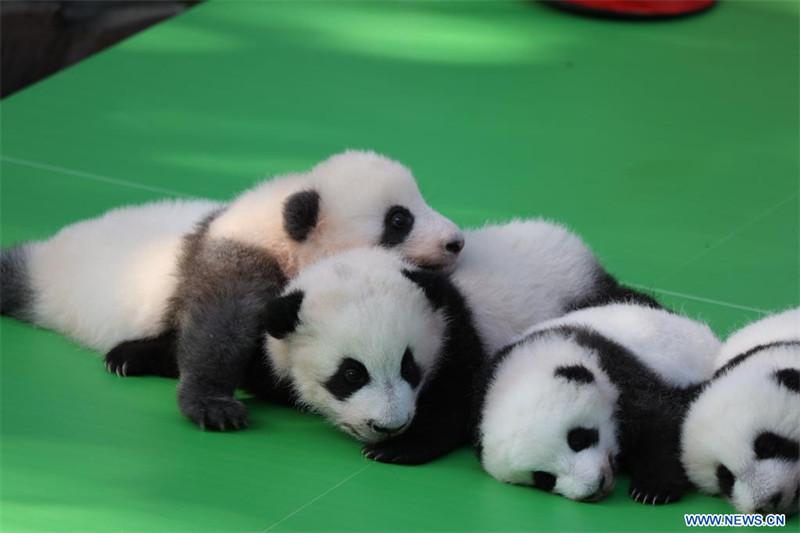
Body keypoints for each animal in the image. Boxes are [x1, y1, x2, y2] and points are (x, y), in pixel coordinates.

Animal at [0, 150, 465, 431]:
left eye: (422, 202)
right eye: (399, 220)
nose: (456, 242)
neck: (278, 226)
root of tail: (46, 256)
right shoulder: (240, 260)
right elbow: (219, 330)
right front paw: (214, 407)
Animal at [475, 303, 720, 504]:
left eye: (578, 438)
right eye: (544, 478)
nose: (595, 487)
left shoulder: (618, 370)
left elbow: (662, 420)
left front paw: (652, 489)